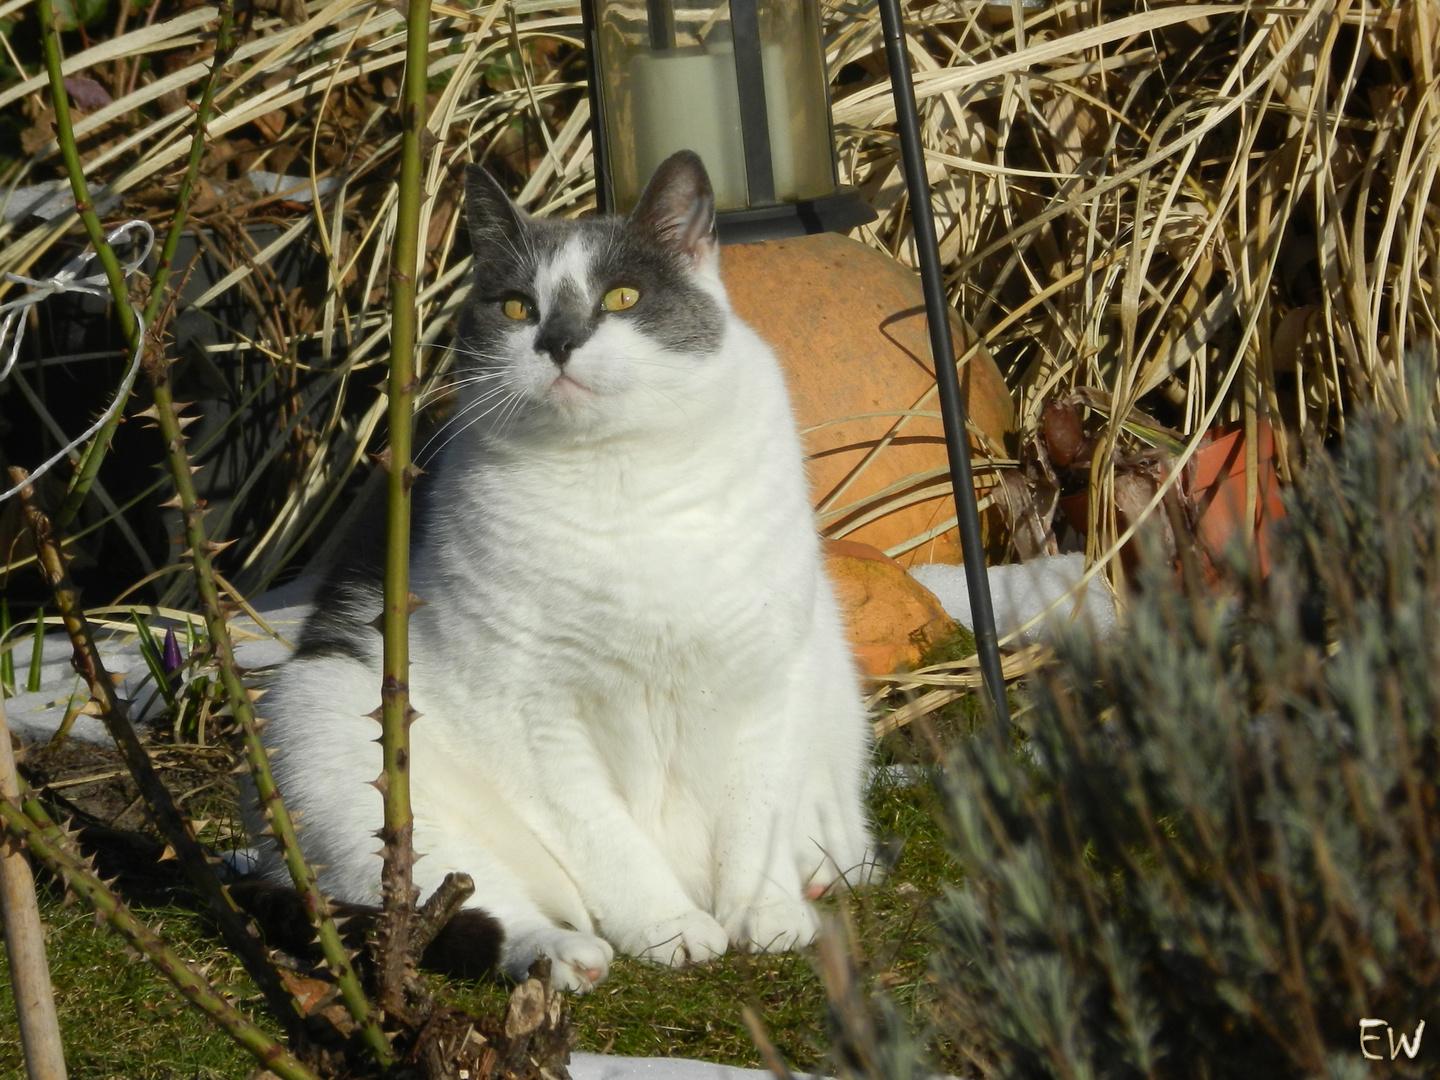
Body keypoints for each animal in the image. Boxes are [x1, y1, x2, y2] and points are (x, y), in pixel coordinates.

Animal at [252, 154, 869, 996]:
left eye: (623, 297)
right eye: (517, 306)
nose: (558, 340)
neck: (620, 480)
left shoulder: (773, 677)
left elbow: (755, 815)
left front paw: (762, 911)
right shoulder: (528, 716)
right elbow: (603, 837)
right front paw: (671, 928)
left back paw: (815, 874)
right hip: (339, 734)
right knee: (445, 906)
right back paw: (561, 952)